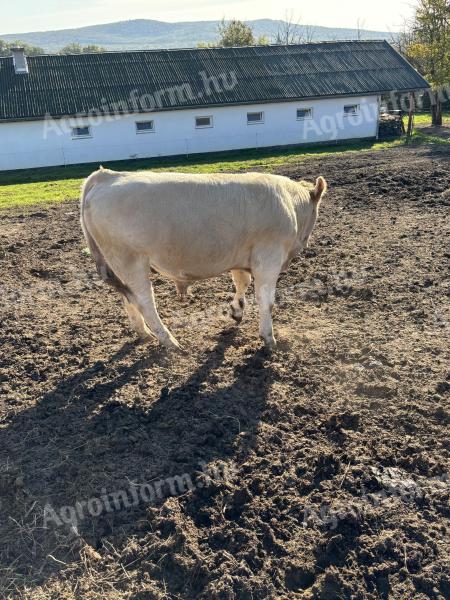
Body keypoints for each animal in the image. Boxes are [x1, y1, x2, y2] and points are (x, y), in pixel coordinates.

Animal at [80, 166, 326, 350]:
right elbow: (266, 300)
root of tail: (106, 175)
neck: (290, 204)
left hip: (118, 263)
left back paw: (144, 334)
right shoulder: (269, 259)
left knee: (127, 298)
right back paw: (170, 342)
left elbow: (242, 282)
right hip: (130, 259)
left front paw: (237, 310)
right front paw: (269, 337)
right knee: (143, 301)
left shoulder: (242, 257)